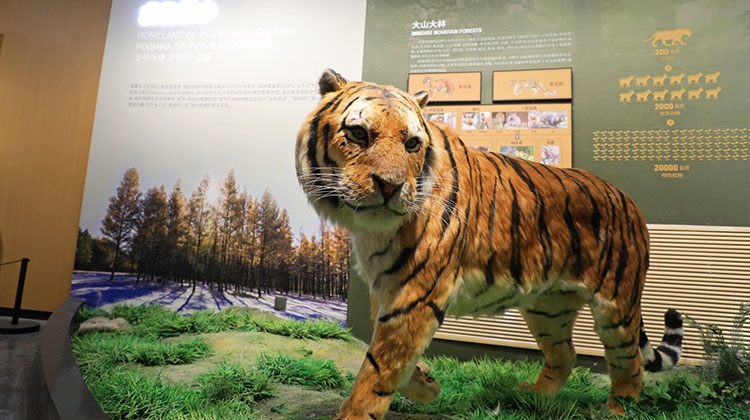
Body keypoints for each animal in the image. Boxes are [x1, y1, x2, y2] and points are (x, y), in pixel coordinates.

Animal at [295, 69, 683, 420]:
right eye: (358, 133)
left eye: (412, 144)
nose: (390, 185)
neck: (373, 229)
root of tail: (630, 201)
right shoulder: (385, 286)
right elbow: (391, 355)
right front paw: (427, 382)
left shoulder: (416, 292)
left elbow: (380, 363)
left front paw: (357, 412)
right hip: (549, 307)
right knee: (565, 354)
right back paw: (534, 396)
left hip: (616, 305)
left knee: (630, 361)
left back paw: (617, 409)